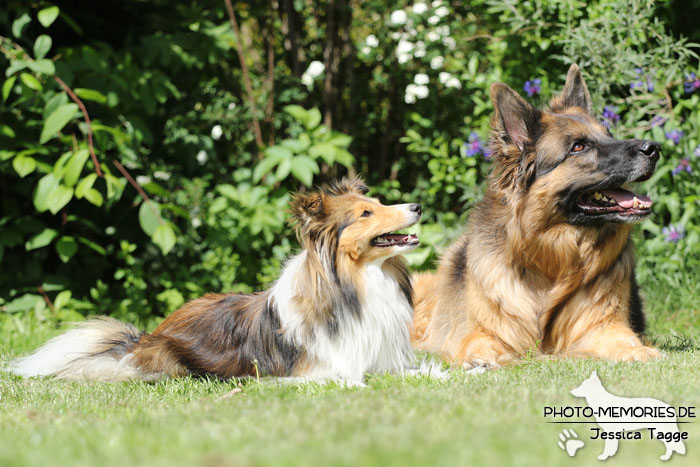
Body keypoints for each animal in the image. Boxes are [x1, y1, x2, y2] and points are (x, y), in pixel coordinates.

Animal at [12, 177, 422, 386]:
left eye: (380, 204)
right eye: (366, 213)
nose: (416, 206)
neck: (359, 282)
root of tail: (146, 336)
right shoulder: (317, 372)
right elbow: (358, 379)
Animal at [412, 64, 664, 368]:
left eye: (610, 135)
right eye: (579, 147)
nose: (654, 148)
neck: (550, 261)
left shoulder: (603, 325)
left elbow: (625, 340)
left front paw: (642, 351)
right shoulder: (482, 331)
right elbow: (476, 346)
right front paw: (480, 360)